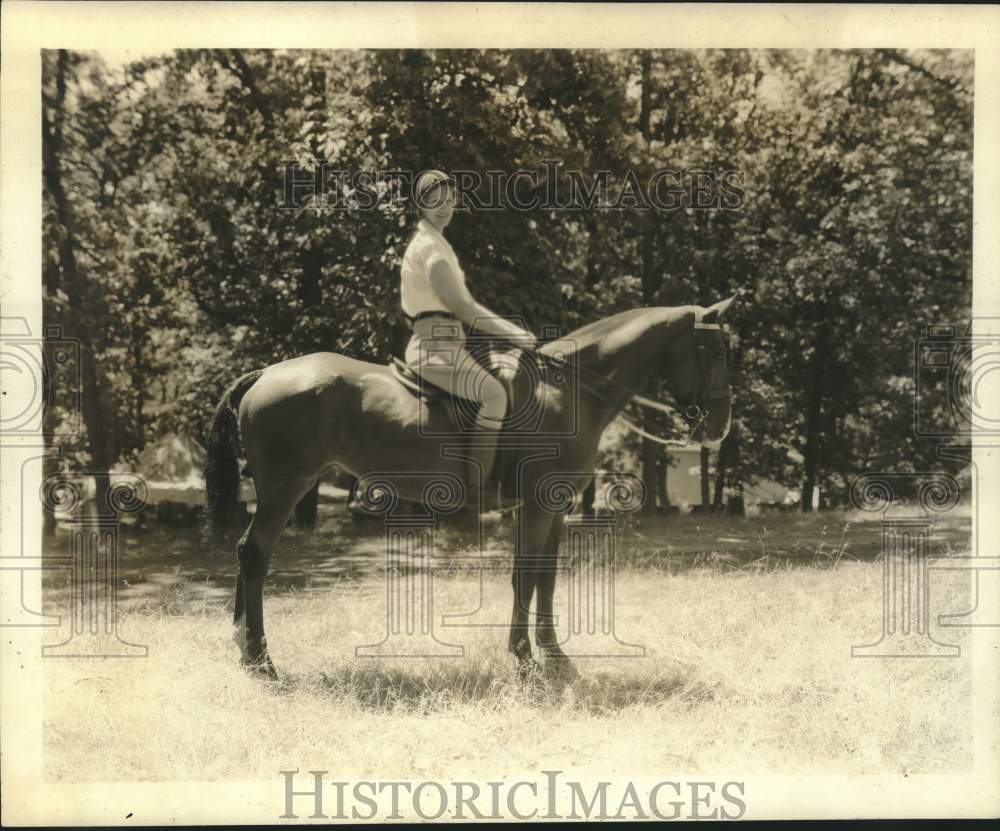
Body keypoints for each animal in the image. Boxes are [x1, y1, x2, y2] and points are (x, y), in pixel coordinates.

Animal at [203, 298, 735, 678]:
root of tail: (267, 373)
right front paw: (524, 658)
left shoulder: (555, 507)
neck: (568, 390)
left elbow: (545, 577)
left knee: (249, 553)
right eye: (715, 352)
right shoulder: (537, 506)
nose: (720, 427)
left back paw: (243, 650)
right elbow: (526, 576)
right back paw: (260, 658)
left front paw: (555, 657)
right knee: (254, 553)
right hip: (284, 489)